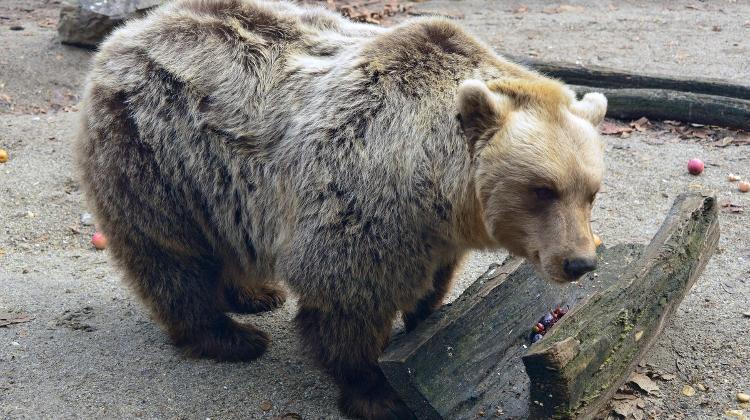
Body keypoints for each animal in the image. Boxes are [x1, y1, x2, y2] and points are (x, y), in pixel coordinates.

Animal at [75, 0, 607, 418]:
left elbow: (431, 281)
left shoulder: (432, 230)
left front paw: (426, 322)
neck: (436, 183)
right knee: (169, 253)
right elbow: (347, 296)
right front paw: (378, 393)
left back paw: (253, 293)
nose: (579, 262)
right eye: (542, 189)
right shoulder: (365, 196)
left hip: (215, 181)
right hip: (159, 151)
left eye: (591, 191)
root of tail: (129, 34)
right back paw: (230, 336)